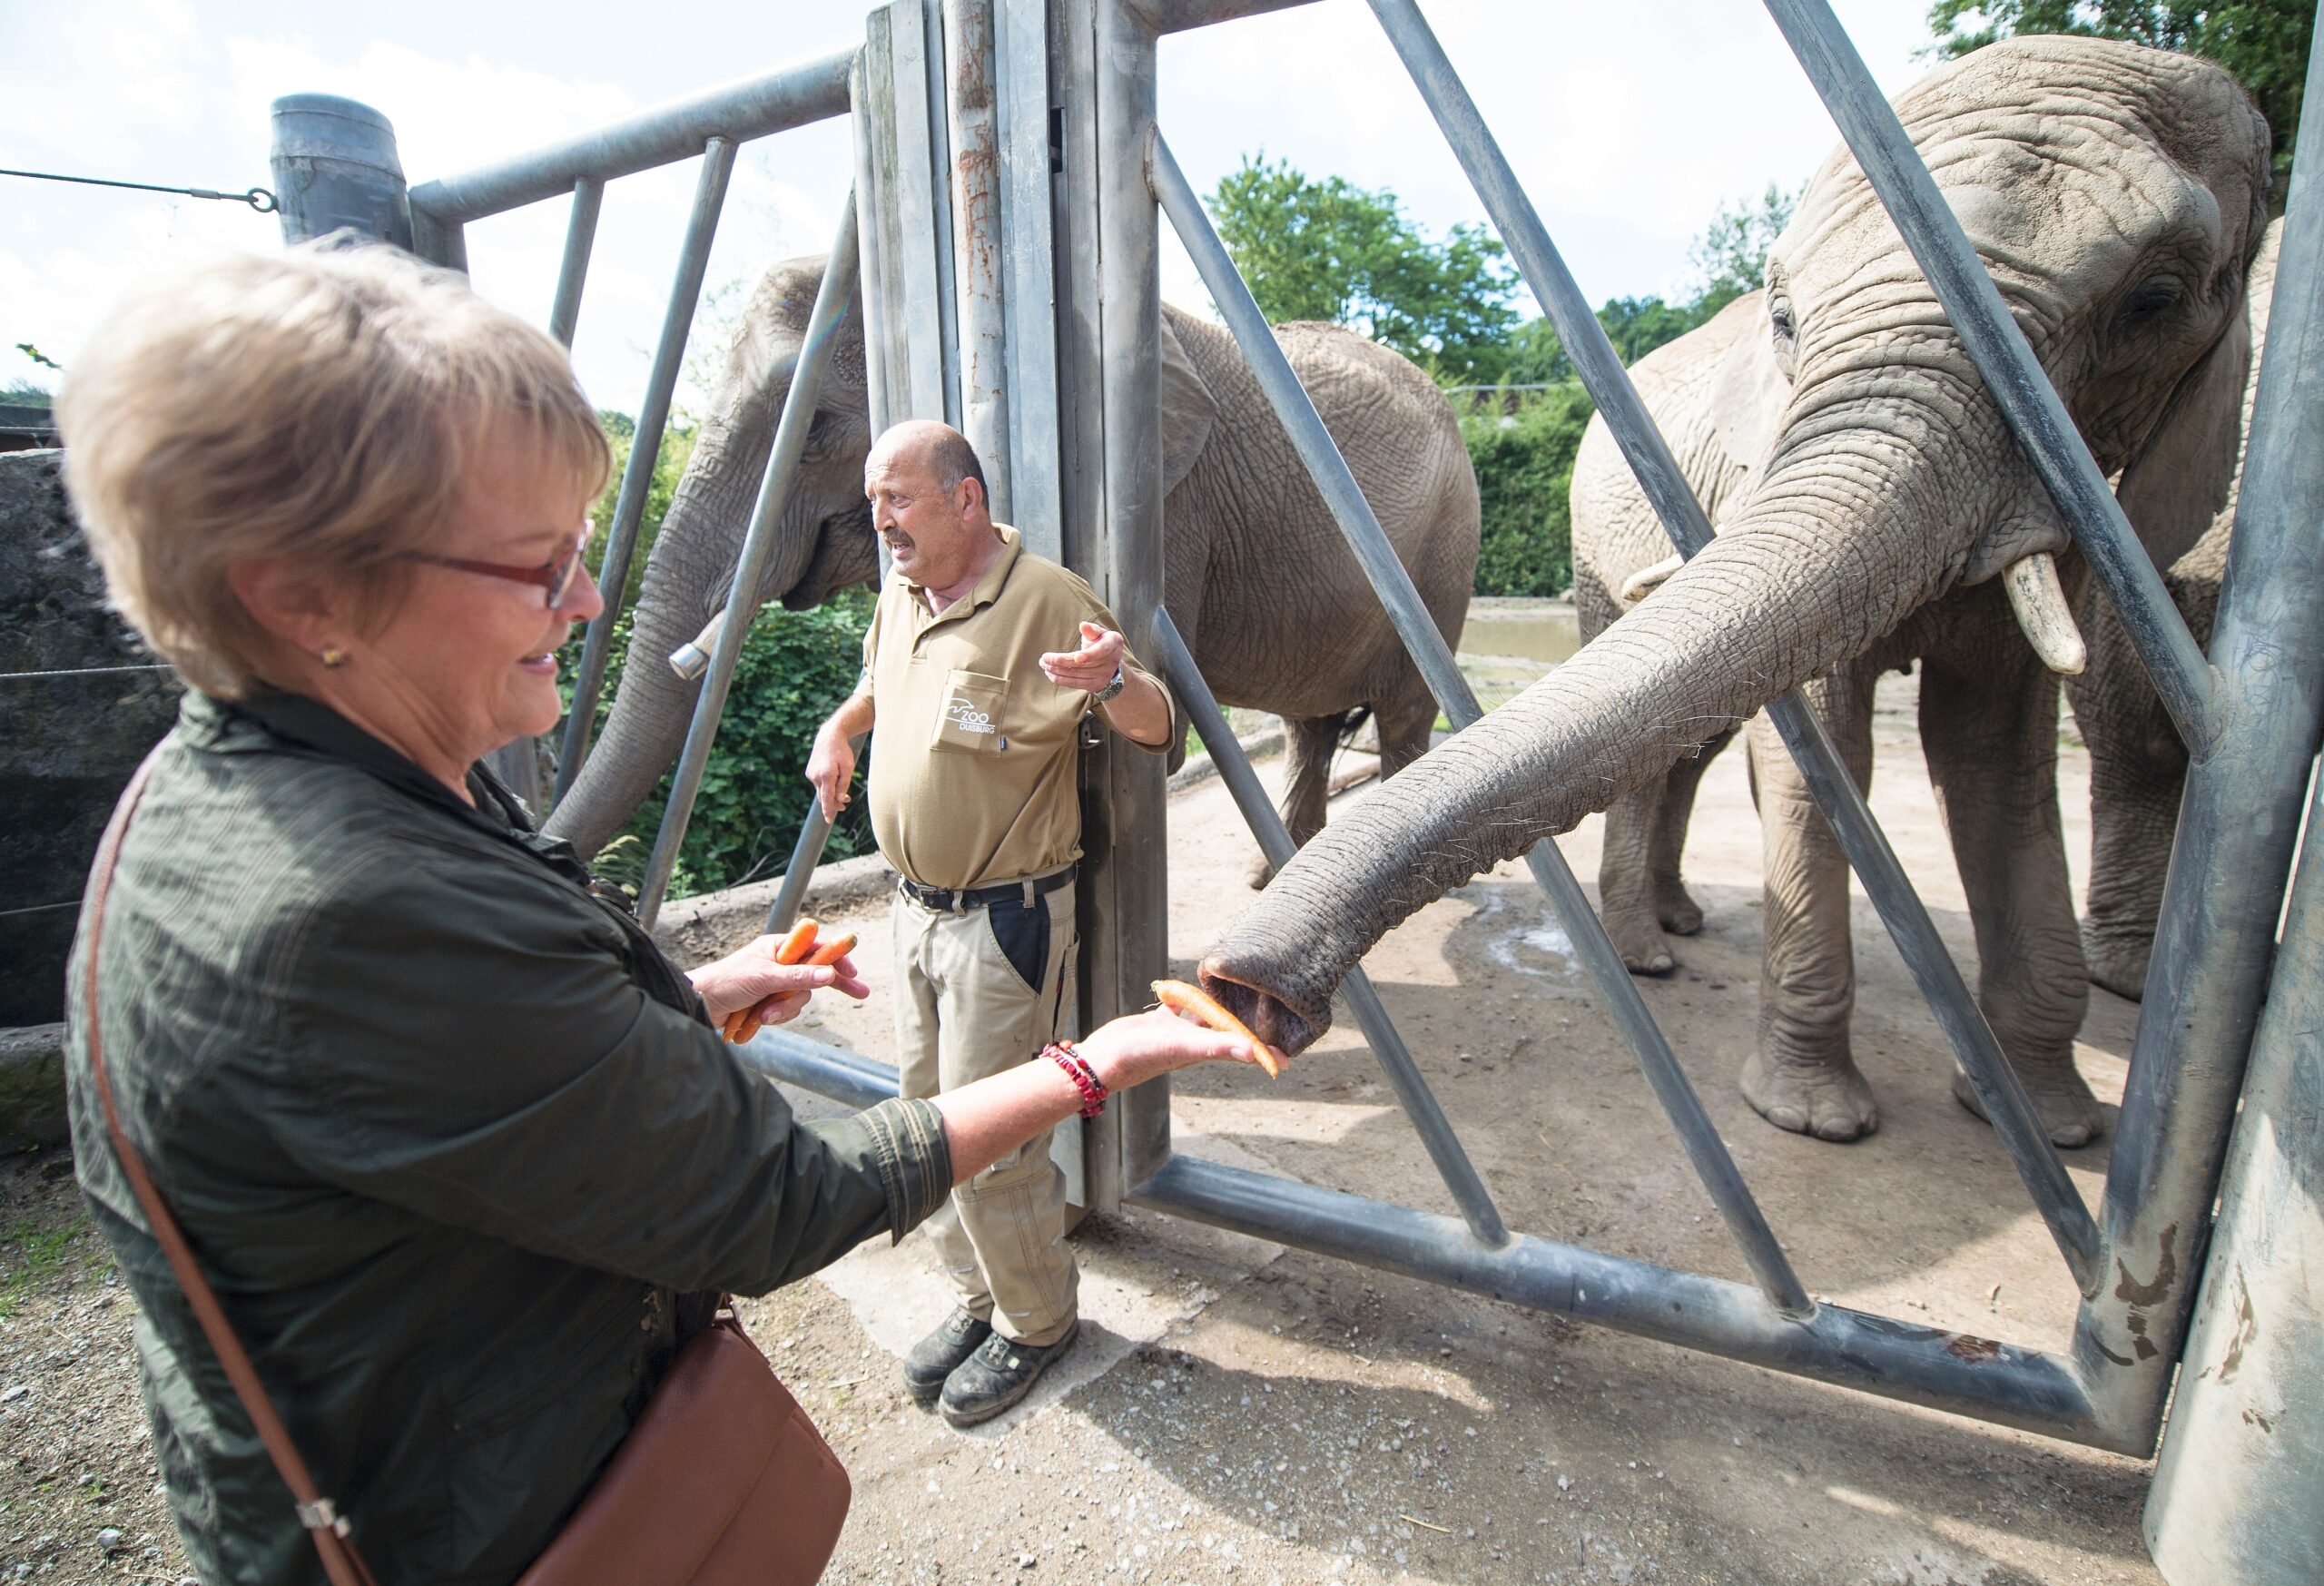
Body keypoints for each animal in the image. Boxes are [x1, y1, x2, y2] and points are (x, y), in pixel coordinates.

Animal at [546, 259, 1478, 879]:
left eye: (813, 432)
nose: (555, 854)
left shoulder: (1169, 503)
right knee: (1310, 726)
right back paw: (1273, 879)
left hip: (1447, 548)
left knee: (1402, 717)